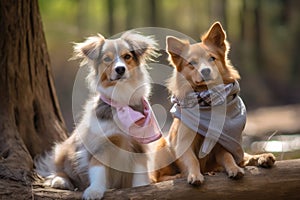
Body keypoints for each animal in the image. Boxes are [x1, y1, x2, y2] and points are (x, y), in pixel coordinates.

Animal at [34, 32, 162, 199]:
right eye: (107, 59)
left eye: (127, 56)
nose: (120, 69)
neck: (121, 100)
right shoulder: (100, 145)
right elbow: (98, 170)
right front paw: (94, 190)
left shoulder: (139, 147)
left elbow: (140, 174)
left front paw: (142, 188)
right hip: (64, 150)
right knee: (58, 168)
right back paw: (60, 181)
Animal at [151, 21, 276, 184]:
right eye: (192, 63)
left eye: (212, 58)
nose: (205, 71)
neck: (206, 98)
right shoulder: (183, 143)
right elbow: (192, 160)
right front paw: (194, 175)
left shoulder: (222, 144)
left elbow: (228, 157)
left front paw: (234, 169)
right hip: (162, 146)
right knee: (157, 178)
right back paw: (176, 176)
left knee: (243, 157)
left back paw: (263, 158)